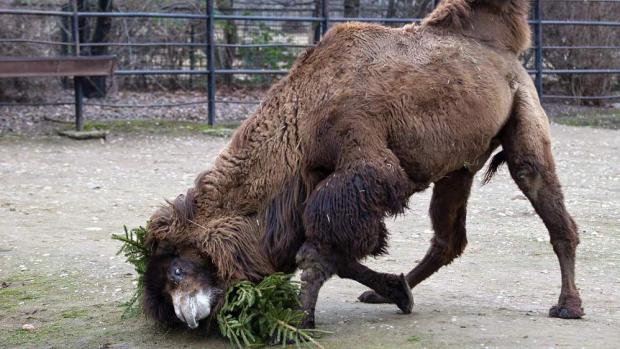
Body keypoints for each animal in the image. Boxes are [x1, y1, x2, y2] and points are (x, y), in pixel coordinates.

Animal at [142, 0, 588, 328]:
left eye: (176, 271)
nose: (185, 317)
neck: (302, 115)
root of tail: (504, 50)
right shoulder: (309, 183)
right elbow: (329, 250)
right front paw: (394, 290)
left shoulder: (361, 156)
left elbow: (317, 249)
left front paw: (297, 318)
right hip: (457, 164)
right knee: (448, 237)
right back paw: (388, 290)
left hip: (523, 110)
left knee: (541, 191)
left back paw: (568, 305)